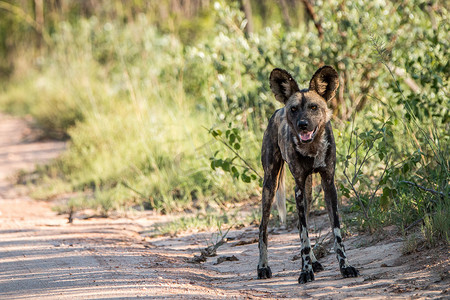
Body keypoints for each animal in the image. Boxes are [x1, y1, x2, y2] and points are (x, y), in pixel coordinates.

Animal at [256, 65, 358, 284]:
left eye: (313, 107)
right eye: (294, 109)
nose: (303, 124)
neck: (312, 148)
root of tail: (277, 110)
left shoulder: (328, 185)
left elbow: (336, 233)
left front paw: (345, 267)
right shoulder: (298, 189)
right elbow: (304, 236)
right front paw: (305, 271)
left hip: (309, 192)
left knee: (300, 224)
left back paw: (315, 262)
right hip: (270, 185)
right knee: (263, 229)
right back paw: (263, 267)